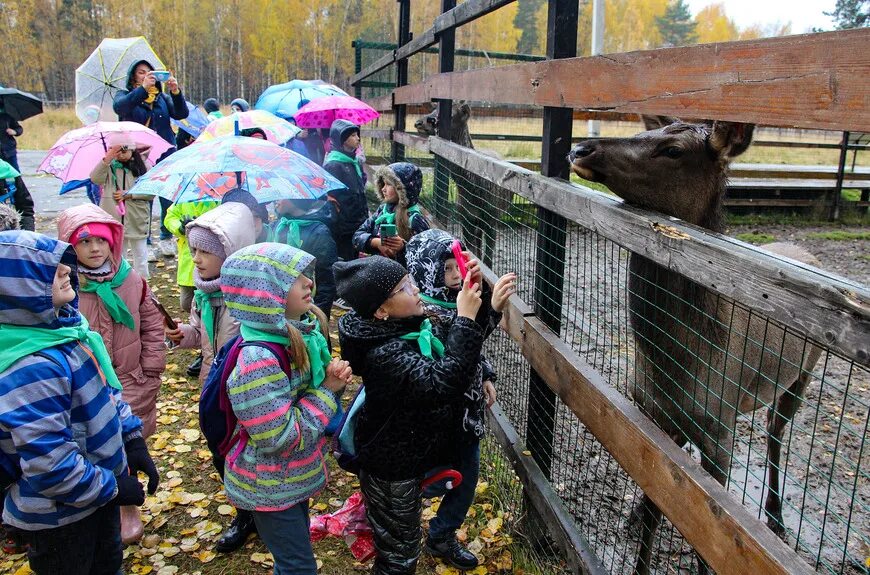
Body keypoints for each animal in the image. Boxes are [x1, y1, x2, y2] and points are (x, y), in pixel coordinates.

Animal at [414, 102, 510, 264]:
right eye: (433, 109)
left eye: (451, 115)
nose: (419, 122)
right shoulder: (464, 218)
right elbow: (472, 252)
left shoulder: (492, 218)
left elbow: (487, 259)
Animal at [568, 118, 820, 575]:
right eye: (648, 132)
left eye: (674, 150)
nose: (582, 148)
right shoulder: (648, 415)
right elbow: (659, 502)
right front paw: (640, 527)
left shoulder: (721, 432)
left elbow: (707, 530)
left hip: (803, 374)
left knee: (776, 429)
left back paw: (775, 517)